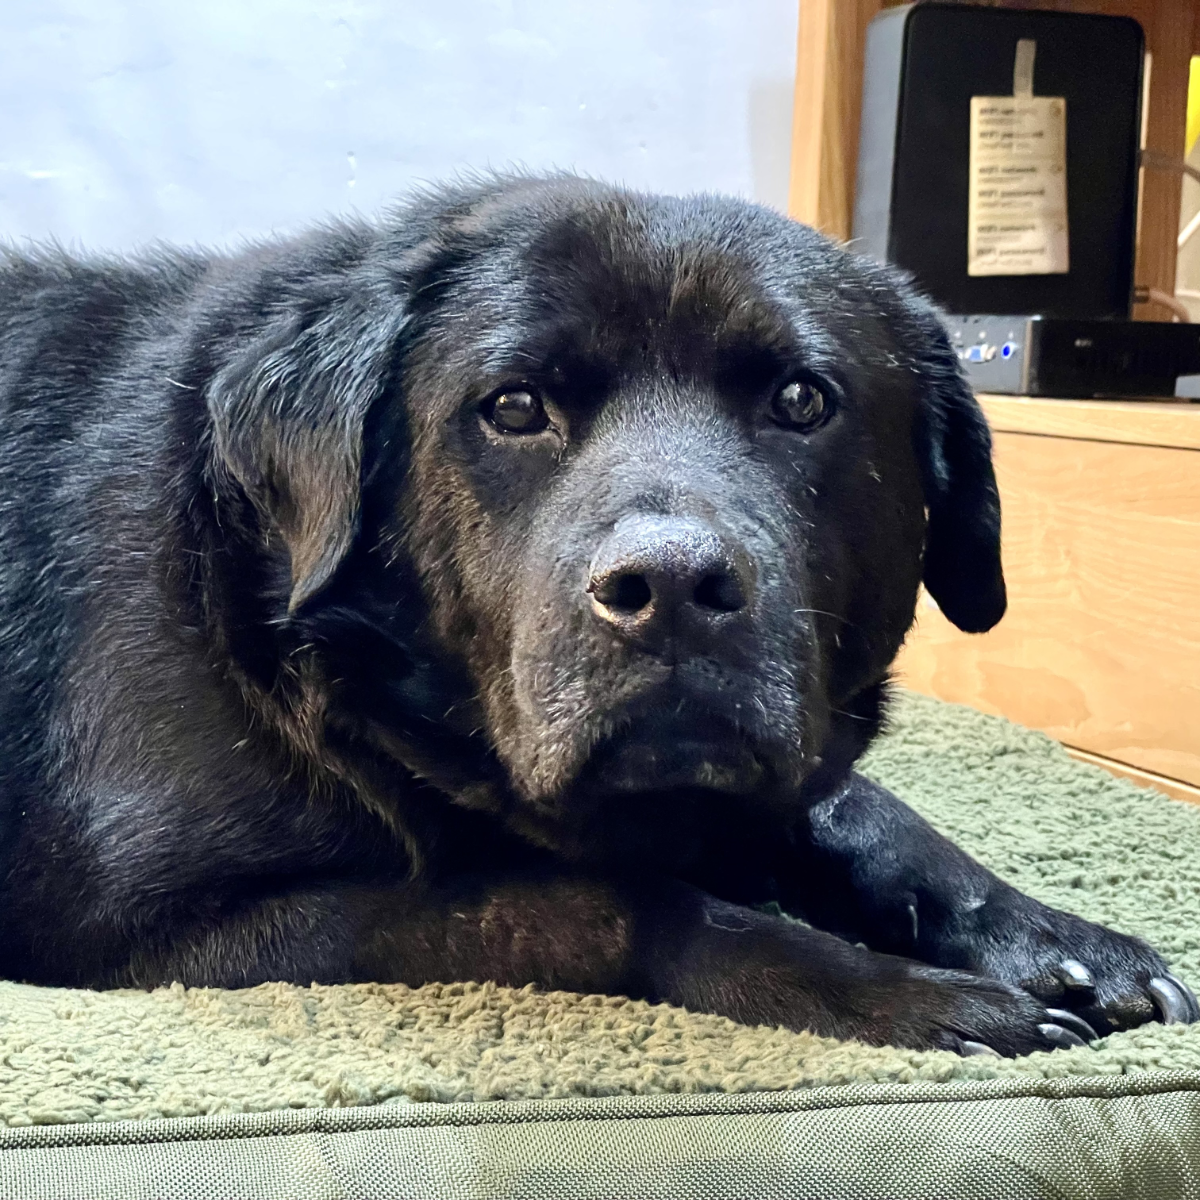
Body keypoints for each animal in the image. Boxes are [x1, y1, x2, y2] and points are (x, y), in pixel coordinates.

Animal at [0, 174, 1190, 1056]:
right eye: (515, 408)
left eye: (801, 400)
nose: (670, 588)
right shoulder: (161, 938)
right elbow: (603, 896)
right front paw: (901, 990)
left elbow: (861, 809)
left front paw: (1046, 933)